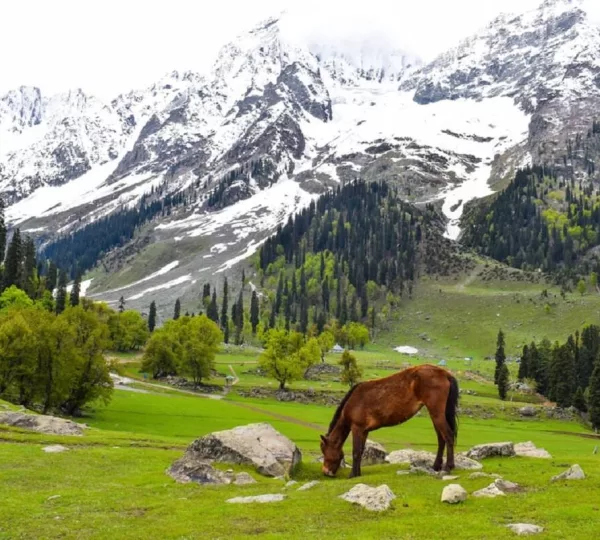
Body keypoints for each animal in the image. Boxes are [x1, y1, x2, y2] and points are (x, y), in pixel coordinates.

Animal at [322, 362, 458, 476]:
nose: (326, 472)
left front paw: (352, 474)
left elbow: (355, 452)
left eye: (324, 451)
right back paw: (436, 466)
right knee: (441, 439)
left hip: (437, 414)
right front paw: (358, 473)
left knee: (448, 436)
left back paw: (448, 467)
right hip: (436, 415)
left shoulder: (357, 428)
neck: (354, 402)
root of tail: (445, 373)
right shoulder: (364, 431)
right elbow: (360, 451)